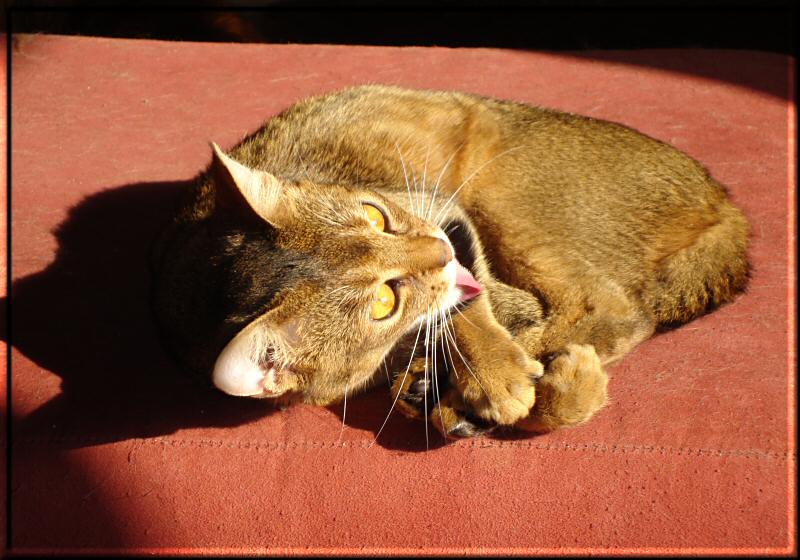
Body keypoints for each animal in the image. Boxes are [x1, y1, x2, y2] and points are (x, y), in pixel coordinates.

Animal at [148, 85, 752, 440]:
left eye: (375, 216)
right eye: (383, 302)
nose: (439, 250)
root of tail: (726, 204)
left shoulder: (443, 208)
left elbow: (466, 302)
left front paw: (497, 375)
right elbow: (453, 303)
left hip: (499, 192)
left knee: (615, 311)